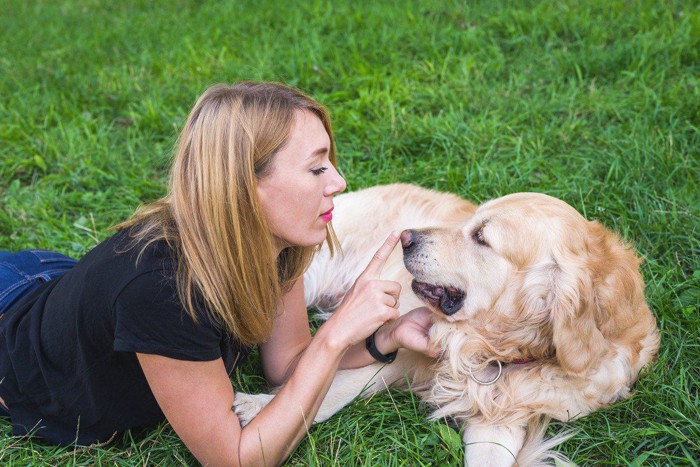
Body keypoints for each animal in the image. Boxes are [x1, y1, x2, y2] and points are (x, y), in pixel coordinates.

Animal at [237, 185, 660, 466]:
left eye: (482, 237)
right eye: (470, 222)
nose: (405, 236)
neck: (495, 347)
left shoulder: (499, 417)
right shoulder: (400, 352)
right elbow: (327, 394)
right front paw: (257, 409)